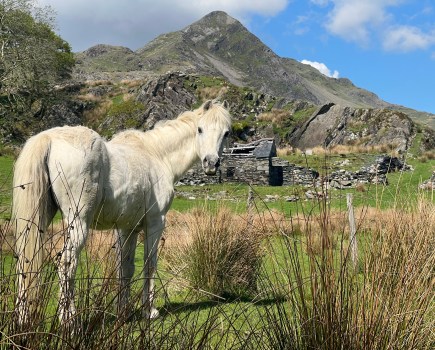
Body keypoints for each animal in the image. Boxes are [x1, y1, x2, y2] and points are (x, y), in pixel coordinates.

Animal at [12, 98, 232, 322]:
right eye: (200, 129)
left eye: (226, 133)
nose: (211, 163)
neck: (158, 155)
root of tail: (49, 138)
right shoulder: (155, 222)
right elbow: (149, 263)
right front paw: (149, 311)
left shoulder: (127, 228)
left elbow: (125, 267)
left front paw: (123, 311)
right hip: (78, 223)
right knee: (66, 264)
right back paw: (69, 318)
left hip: (39, 220)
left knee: (26, 261)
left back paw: (23, 317)